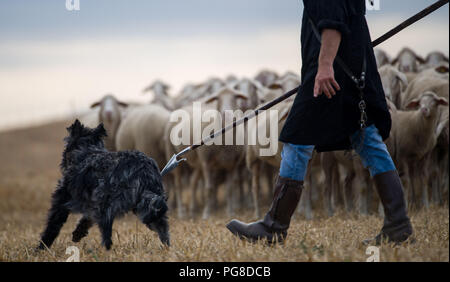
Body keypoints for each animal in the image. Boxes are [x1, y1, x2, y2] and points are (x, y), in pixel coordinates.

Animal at [37, 120, 169, 250]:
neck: (87, 150)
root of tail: (144, 169)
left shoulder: (62, 201)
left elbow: (52, 226)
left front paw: (41, 247)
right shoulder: (92, 204)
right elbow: (86, 219)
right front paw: (78, 233)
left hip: (107, 206)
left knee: (106, 234)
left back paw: (106, 250)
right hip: (148, 207)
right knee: (163, 228)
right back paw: (167, 248)